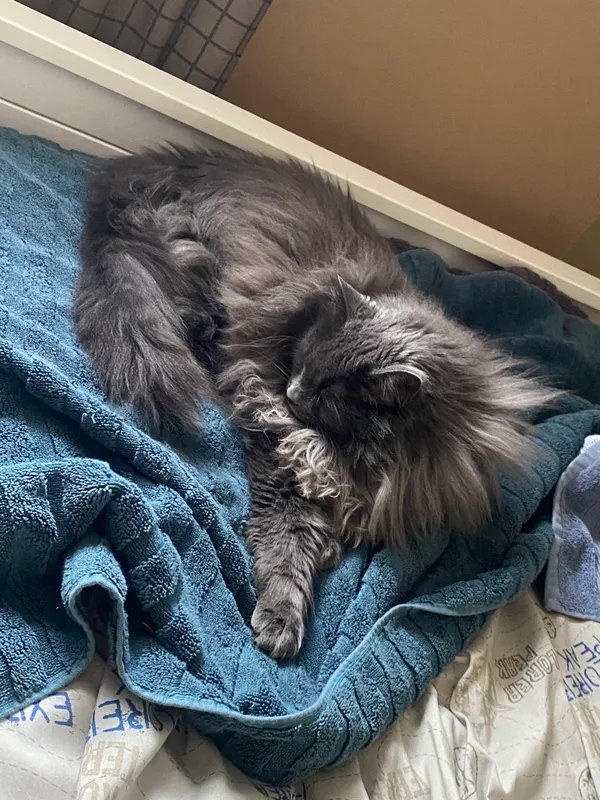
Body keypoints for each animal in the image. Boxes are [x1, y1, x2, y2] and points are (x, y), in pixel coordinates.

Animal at [74, 147, 556, 660]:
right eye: (302, 363)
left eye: (327, 391)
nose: (292, 394)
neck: (373, 464)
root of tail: (148, 166)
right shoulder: (280, 444)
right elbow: (289, 536)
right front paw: (281, 619)